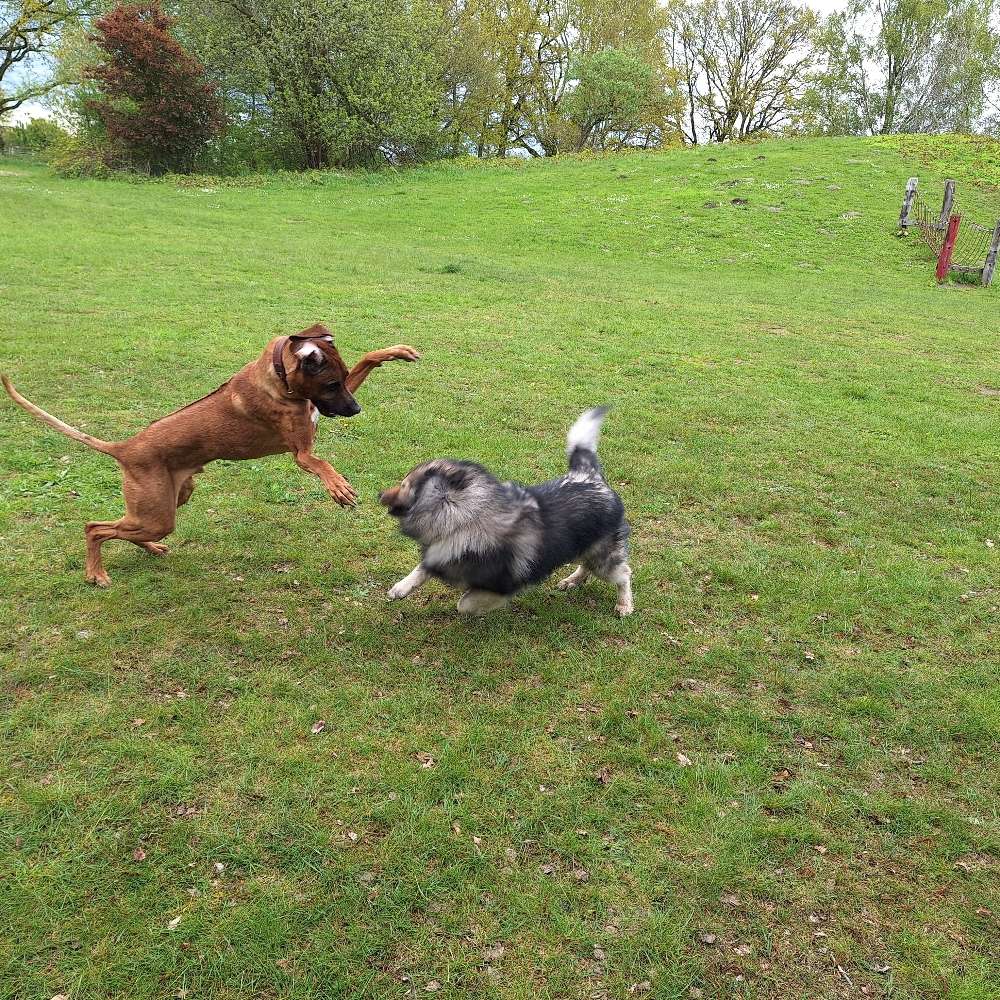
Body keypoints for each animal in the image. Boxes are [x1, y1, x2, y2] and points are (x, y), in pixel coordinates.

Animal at [2, 324, 418, 584]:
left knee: (123, 528)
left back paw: (149, 549)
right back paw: (96, 573)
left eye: (340, 379)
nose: (356, 410)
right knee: (94, 527)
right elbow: (319, 463)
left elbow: (367, 358)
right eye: (330, 384)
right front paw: (338, 488)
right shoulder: (301, 451)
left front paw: (394, 352)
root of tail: (125, 447)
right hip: (157, 510)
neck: (279, 375)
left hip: (170, 502)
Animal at [376, 408, 632, 612]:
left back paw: (624, 605)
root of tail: (590, 475)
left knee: (623, 574)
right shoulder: (439, 553)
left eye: (404, 485)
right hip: (582, 547)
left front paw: (480, 606)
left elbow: (465, 603)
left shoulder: (502, 585)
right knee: (587, 566)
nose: (379, 494)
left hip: (603, 557)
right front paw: (400, 588)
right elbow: (421, 570)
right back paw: (572, 581)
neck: (465, 518)